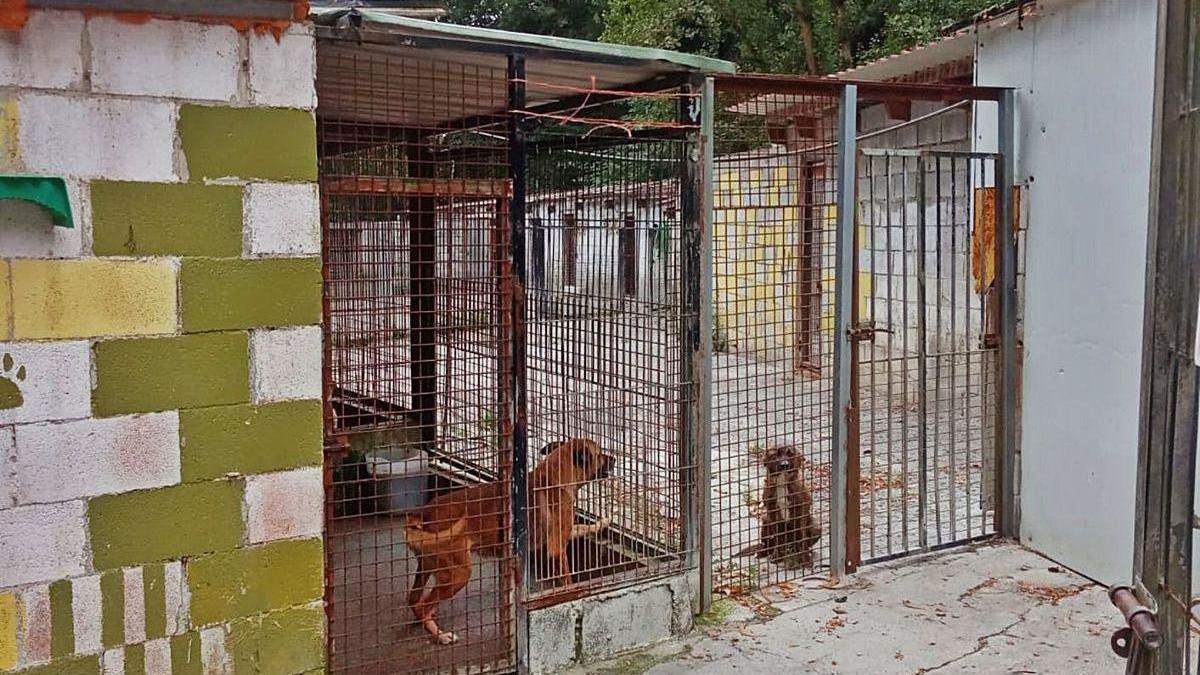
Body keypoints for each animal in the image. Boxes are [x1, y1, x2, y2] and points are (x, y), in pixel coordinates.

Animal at [403, 437, 614, 638]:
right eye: (600, 454)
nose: (615, 458)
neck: (555, 477)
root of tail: (422, 514)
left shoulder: (566, 532)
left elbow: (584, 527)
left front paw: (602, 523)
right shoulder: (557, 548)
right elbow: (567, 581)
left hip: (429, 566)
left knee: (414, 600)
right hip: (458, 574)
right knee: (422, 605)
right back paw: (440, 634)